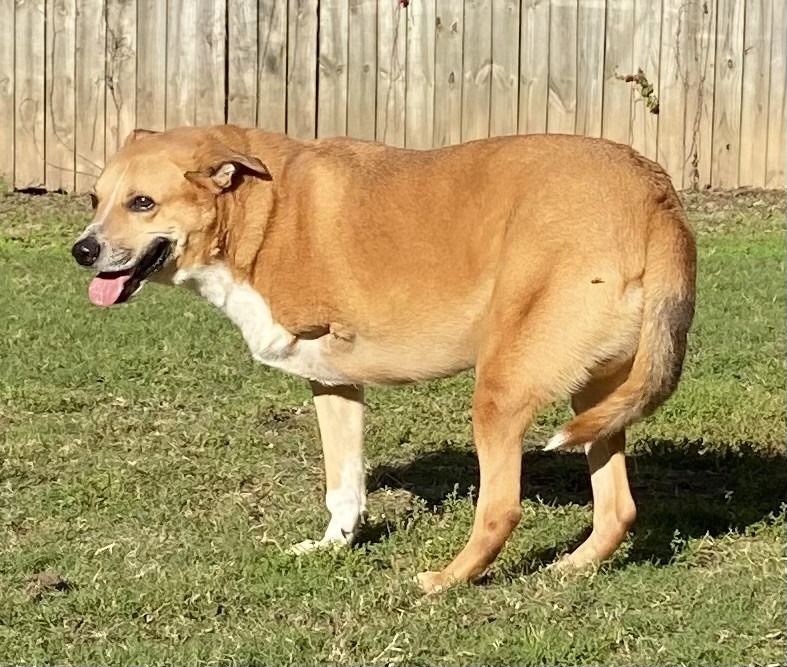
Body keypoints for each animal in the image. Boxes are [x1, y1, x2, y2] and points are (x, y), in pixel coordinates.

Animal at [72, 125, 696, 596]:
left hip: (500, 391)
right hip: (599, 399)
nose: (82, 250)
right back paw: (571, 566)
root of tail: (654, 195)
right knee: (618, 509)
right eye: (95, 200)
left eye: (143, 202)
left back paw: (446, 580)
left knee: (502, 510)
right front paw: (333, 546)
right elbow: (343, 484)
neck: (263, 211)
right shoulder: (332, 384)